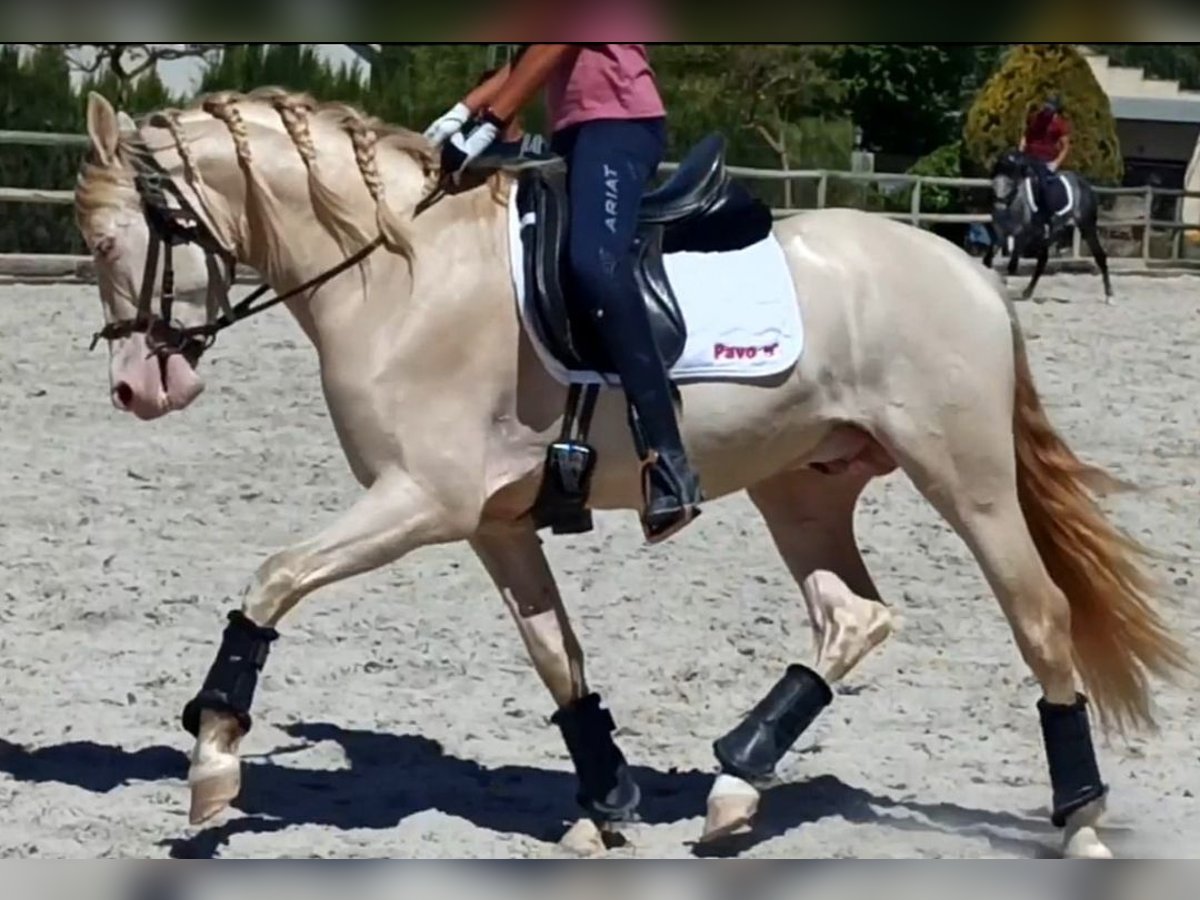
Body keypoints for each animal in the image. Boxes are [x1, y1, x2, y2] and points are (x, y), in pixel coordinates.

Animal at [984, 148, 1113, 303]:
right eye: (994, 181)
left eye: (1013, 183)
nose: (999, 206)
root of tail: (1085, 185)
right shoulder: (1001, 236)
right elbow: (987, 262)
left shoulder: (1022, 237)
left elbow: (1011, 268)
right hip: (1054, 232)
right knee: (1042, 261)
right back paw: (1027, 292)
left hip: (1087, 226)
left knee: (1100, 256)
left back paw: (1110, 296)